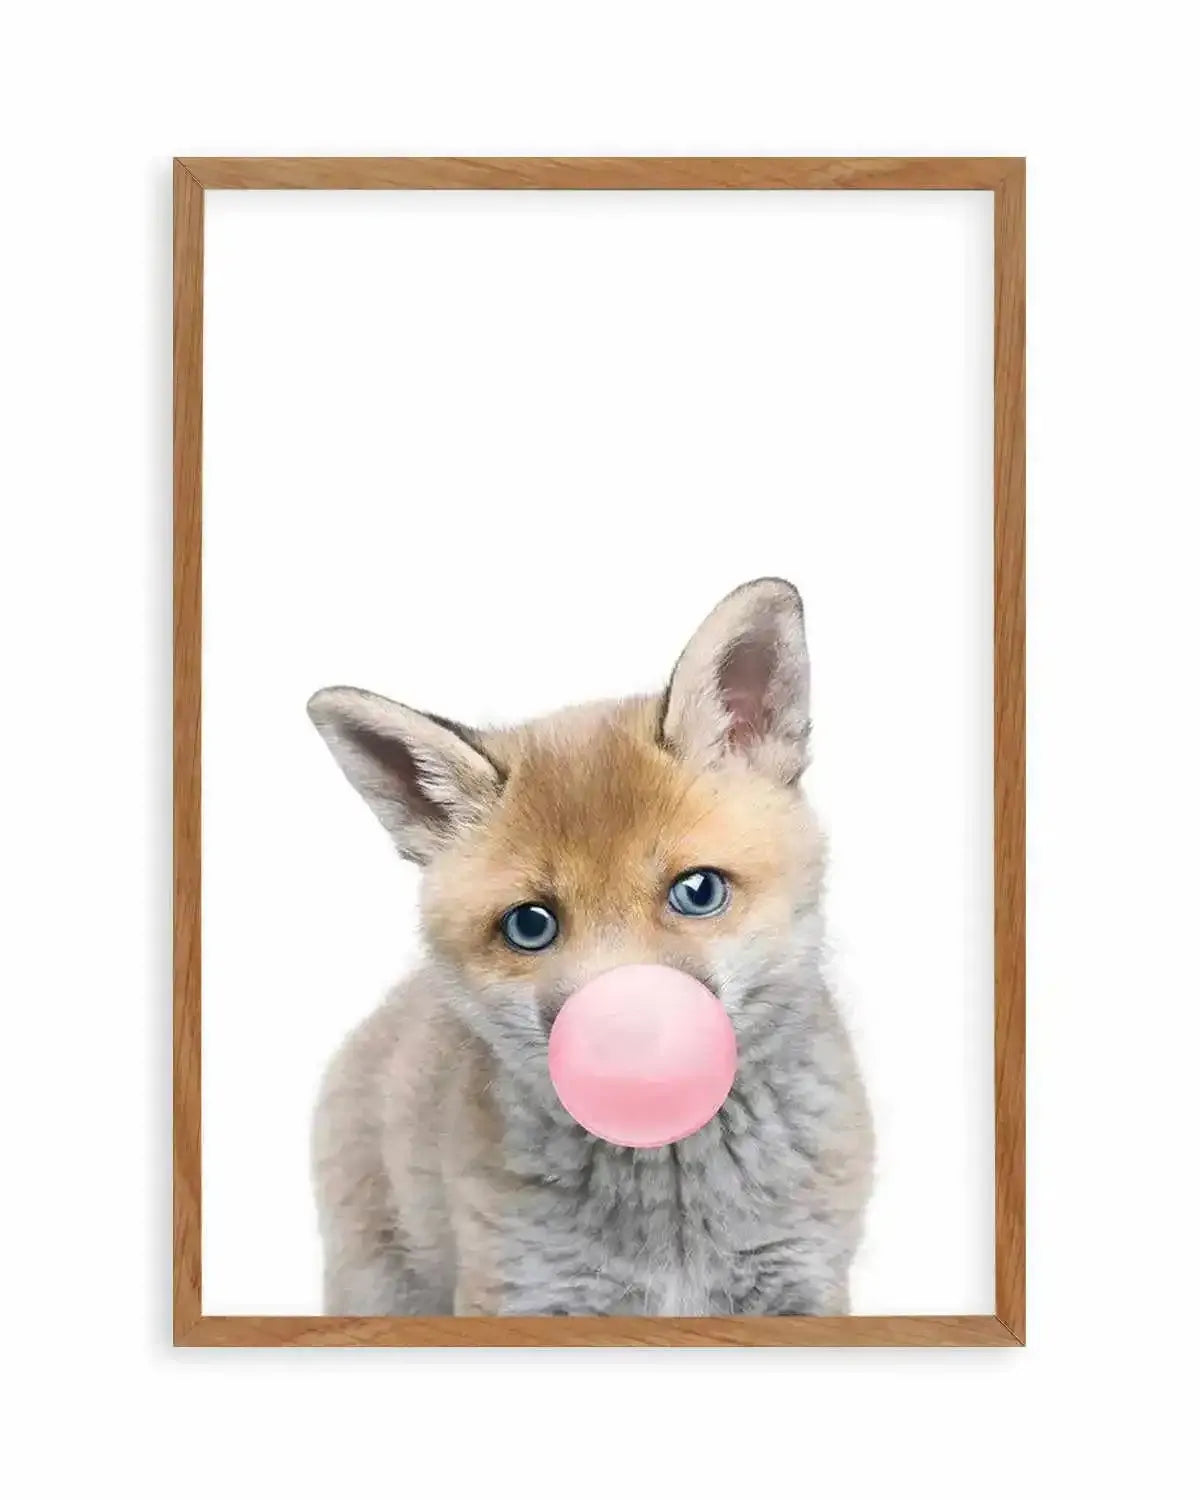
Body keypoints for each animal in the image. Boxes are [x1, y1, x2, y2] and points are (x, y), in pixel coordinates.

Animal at [307, 577, 873, 1317]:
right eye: (530, 925)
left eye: (697, 891)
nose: (625, 1043)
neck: (676, 1234)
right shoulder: (523, 1291)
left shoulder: (802, 1282)